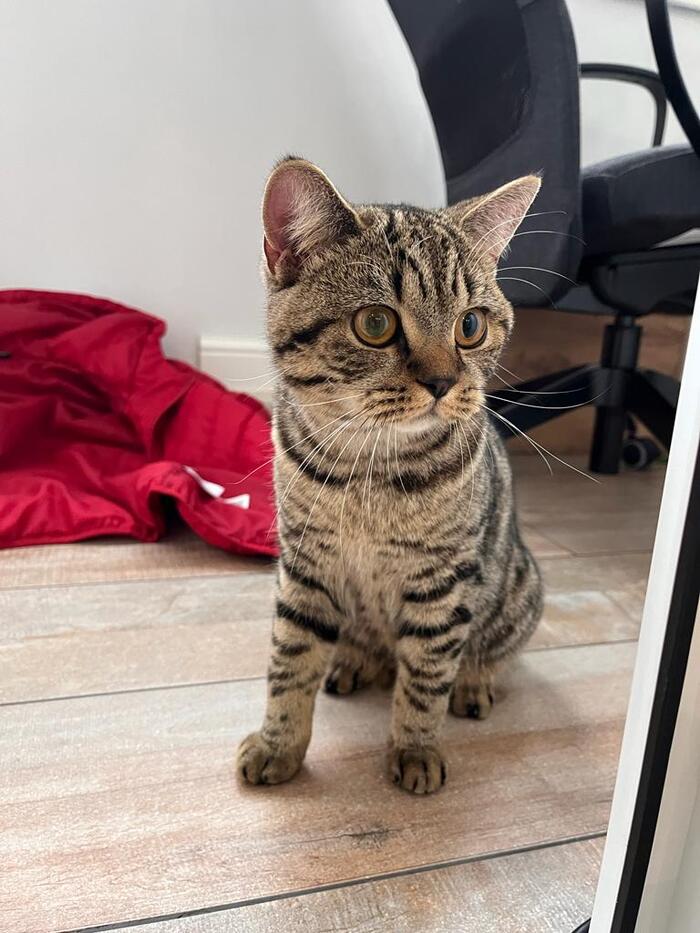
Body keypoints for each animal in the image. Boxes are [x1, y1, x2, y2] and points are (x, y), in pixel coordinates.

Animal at [237, 157, 544, 794]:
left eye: (471, 326)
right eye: (376, 323)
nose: (444, 382)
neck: (369, 470)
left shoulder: (442, 582)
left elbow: (426, 678)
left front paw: (415, 750)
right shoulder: (304, 566)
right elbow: (290, 661)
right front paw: (279, 744)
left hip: (519, 590)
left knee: (489, 653)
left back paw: (474, 683)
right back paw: (354, 661)